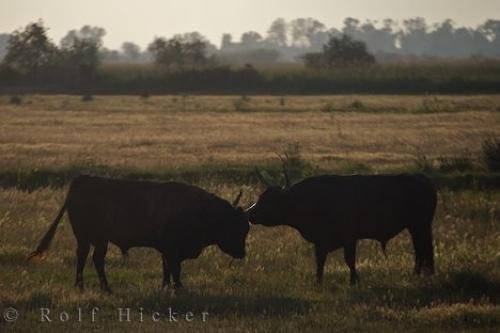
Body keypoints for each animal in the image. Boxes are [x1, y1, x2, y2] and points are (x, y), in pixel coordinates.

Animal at [28, 175, 249, 290]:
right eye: (234, 227)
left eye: (245, 229)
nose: (242, 253)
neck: (199, 210)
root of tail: (82, 180)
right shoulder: (171, 249)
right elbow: (175, 269)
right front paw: (178, 288)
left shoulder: (166, 251)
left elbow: (166, 268)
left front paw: (165, 287)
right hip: (86, 237)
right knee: (83, 257)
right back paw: (81, 285)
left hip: (100, 240)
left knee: (97, 259)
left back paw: (105, 287)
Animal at [248, 170, 436, 284]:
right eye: (261, 197)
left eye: (269, 200)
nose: (249, 213)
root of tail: (421, 178)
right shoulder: (321, 242)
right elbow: (321, 261)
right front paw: (319, 281)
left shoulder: (348, 238)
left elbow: (349, 260)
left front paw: (353, 281)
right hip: (419, 227)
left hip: (419, 226)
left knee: (421, 250)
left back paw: (416, 274)